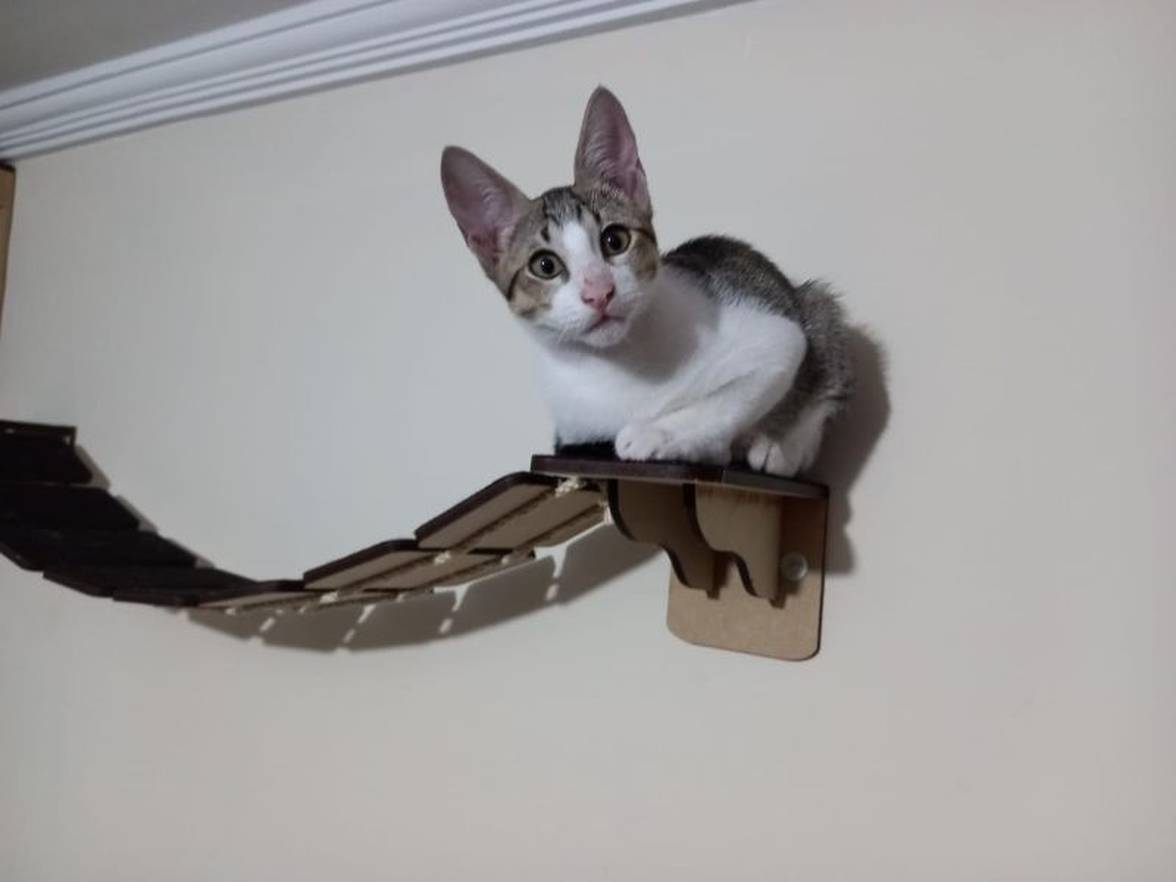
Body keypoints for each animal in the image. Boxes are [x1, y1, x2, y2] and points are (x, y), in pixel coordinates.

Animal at [440, 86, 852, 476]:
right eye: (545, 265)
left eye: (615, 240)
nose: (599, 292)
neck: (617, 366)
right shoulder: (571, 431)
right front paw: (697, 445)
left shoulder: (775, 342)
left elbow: (730, 394)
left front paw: (658, 432)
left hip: (808, 303)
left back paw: (778, 446)